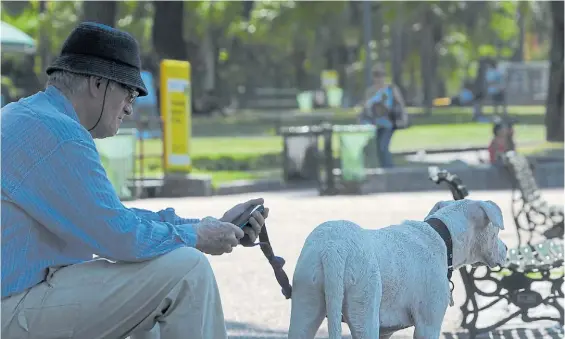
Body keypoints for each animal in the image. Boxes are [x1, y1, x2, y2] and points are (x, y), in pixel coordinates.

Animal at [288, 199, 504, 339]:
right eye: (496, 230)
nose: (506, 249)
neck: (443, 237)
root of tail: (333, 248)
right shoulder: (428, 325)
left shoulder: (386, 330)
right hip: (364, 311)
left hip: (305, 308)